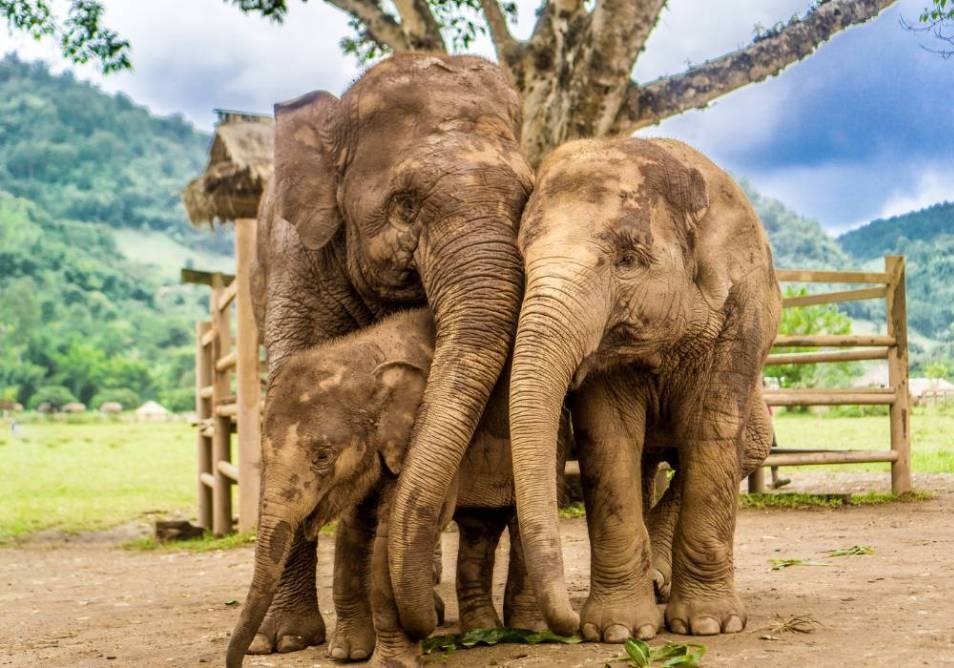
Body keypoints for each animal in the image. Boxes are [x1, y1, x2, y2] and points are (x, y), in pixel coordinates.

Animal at [227, 308, 565, 666]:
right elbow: (354, 527)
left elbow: (390, 531)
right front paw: (347, 653)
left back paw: (526, 628)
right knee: (478, 527)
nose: (243, 659)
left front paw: (391, 660)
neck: (365, 355)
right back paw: (482, 630)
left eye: (322, 456)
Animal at [506, 137, 782, 641]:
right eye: (521, 259)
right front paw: (618, 632)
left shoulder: (741, 312)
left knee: (748, 448)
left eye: (628, 260)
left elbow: (711, 432)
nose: (566, 623)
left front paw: (710, 625)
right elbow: (608, 439)